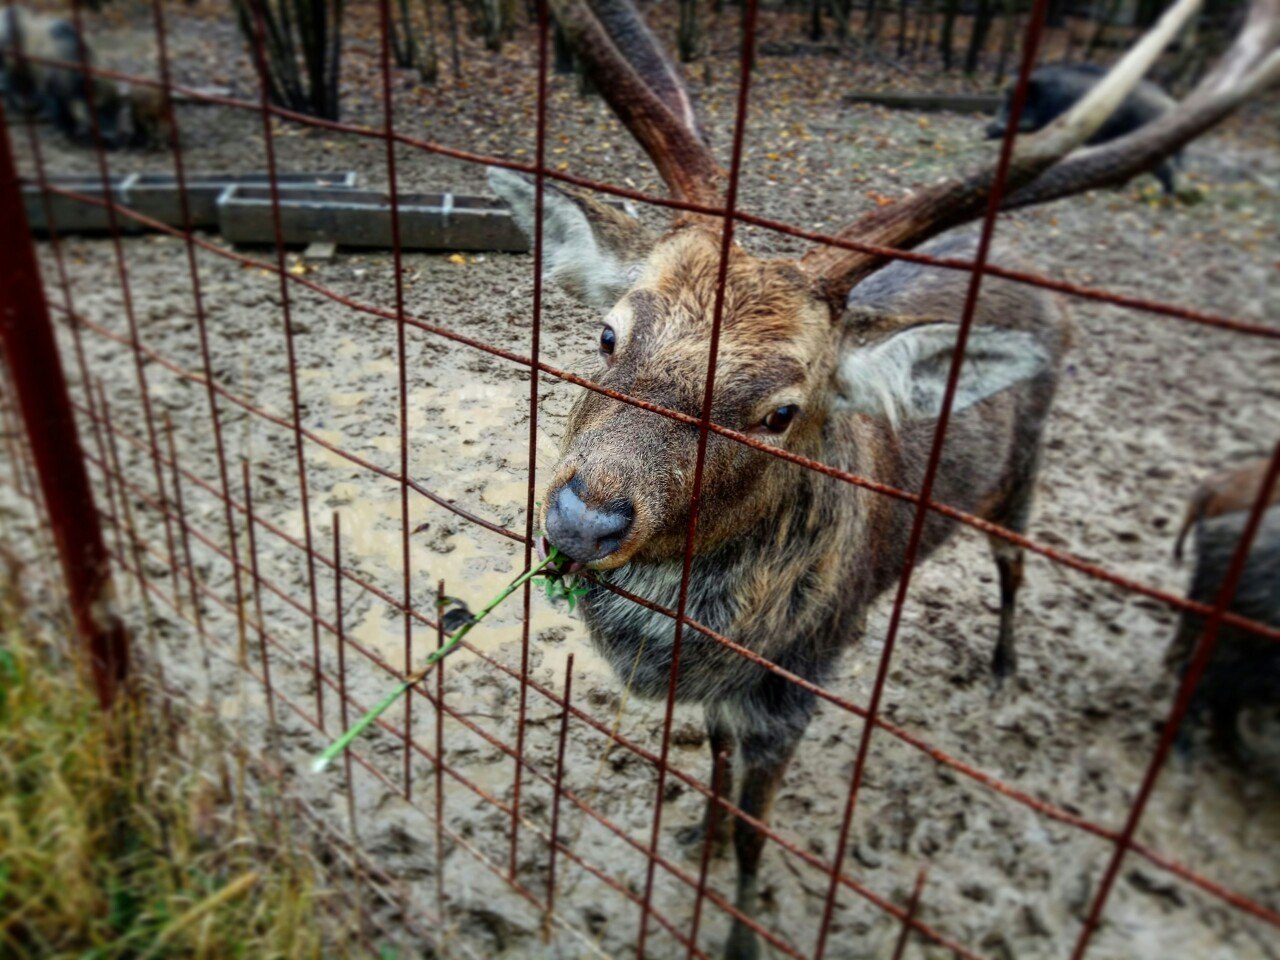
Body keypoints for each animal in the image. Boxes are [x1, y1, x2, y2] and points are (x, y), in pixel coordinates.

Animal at [483, 3, 1274, 957]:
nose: (584, 515)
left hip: (1026, 470)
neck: (700, 645)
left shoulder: (793, 687)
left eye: (781, 411)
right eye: (608, 333)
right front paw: (698, 832)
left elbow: (756, 835)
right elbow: (713, 765)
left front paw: (741, 927)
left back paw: (1005, 668)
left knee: (1016, 564)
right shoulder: (722, 695)